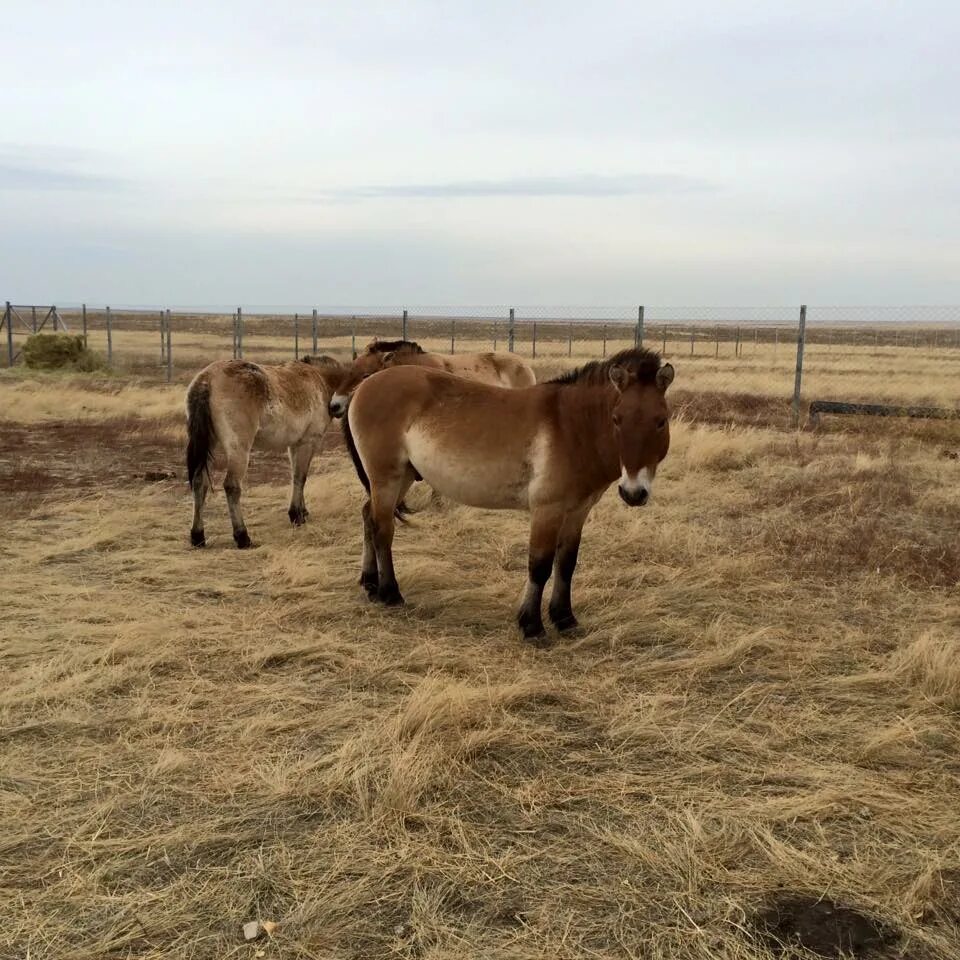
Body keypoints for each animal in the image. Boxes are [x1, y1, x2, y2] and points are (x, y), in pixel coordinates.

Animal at [186, 354, 344, 552]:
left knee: (200, 483)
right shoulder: (308, 442)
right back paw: (242, 537)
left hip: (210, 445)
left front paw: (301, 512)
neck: (320, 378)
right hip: (239, 449)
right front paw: (297, 516)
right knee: (231, 486)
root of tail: (207, 380)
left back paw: (198, 536)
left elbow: (296, 477)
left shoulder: (295, 444)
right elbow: (301, 477)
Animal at [344, 348, 676, 640]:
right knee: (383, 530)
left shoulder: (577, 512)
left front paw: (565, 619)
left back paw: (370, 583)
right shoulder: (547, 511)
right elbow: (540, 566)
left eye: (661, 420)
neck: (571, 426)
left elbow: (566, 564)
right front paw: (532, 626)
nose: (634, 493)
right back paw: (390, 594)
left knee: (367, 517)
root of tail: (363, 386)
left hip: (401, 478)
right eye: (617, 418)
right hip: (387, 478)